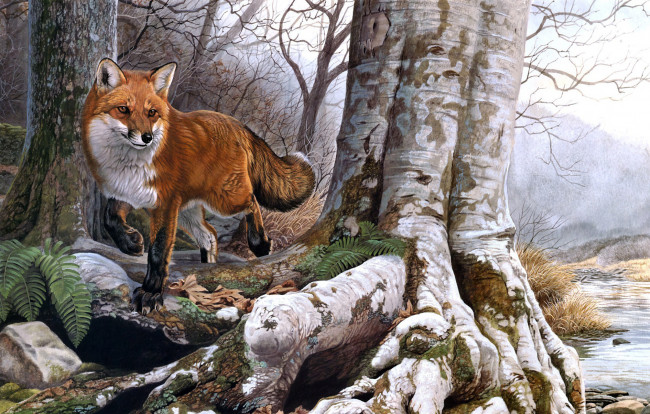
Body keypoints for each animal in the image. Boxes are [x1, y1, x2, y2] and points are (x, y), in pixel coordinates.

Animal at [81, 58, 315, 314]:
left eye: (152, 113)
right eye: (123, 109)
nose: (147, 137)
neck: (128, 163)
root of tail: (235, 123)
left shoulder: (164, 204)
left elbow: (158, 251)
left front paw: (151, 293)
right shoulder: (130, 193)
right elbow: (109, 218)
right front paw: (131, 243)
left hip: (224, 200)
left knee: (252, 202)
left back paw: (259, 243)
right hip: (187, 211)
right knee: (209, 235)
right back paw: (208, 268)